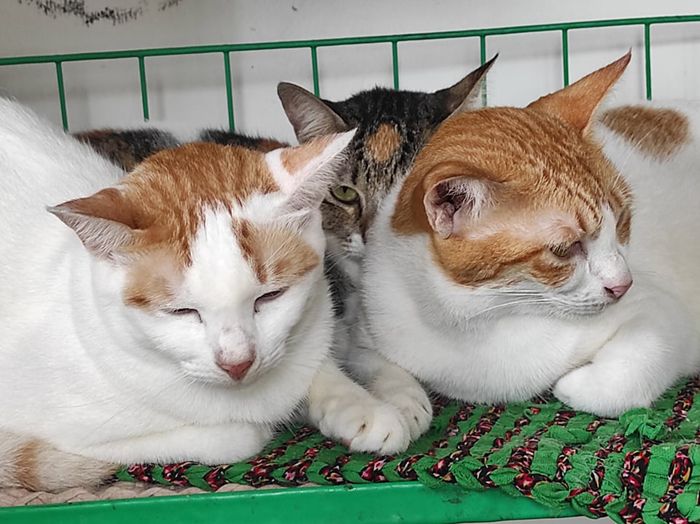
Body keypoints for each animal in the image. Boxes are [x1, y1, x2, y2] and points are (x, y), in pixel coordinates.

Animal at [0, 99, 411, 492]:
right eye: (181, 311)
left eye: (270, 296)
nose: (238, 363)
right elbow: (231, 437)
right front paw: (257, 426)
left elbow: (315, 367)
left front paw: (363, 408)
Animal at [361, 53, 700, 418]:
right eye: (565, 249)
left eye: (623, 219)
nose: (624, 284)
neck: (488, 327)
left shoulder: (658, 310)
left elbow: (630, 368)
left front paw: (571, 385)